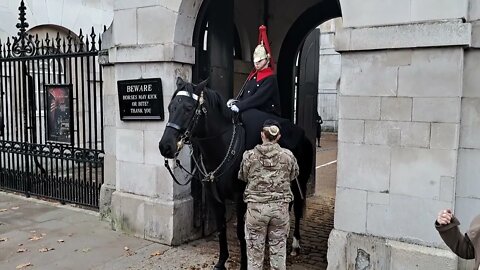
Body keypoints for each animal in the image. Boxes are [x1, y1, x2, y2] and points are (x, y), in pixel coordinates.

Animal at [159, 77, 314, 268]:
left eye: (188, 108)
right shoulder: (213, 197)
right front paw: (221, 261)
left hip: (301, 182)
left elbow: (242, 232)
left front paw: (244, 264)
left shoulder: (241, 198)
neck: (221, 147)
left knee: (297, 209)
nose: (165, 146)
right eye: (170, 107)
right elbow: (221, 227)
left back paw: (295, 245)